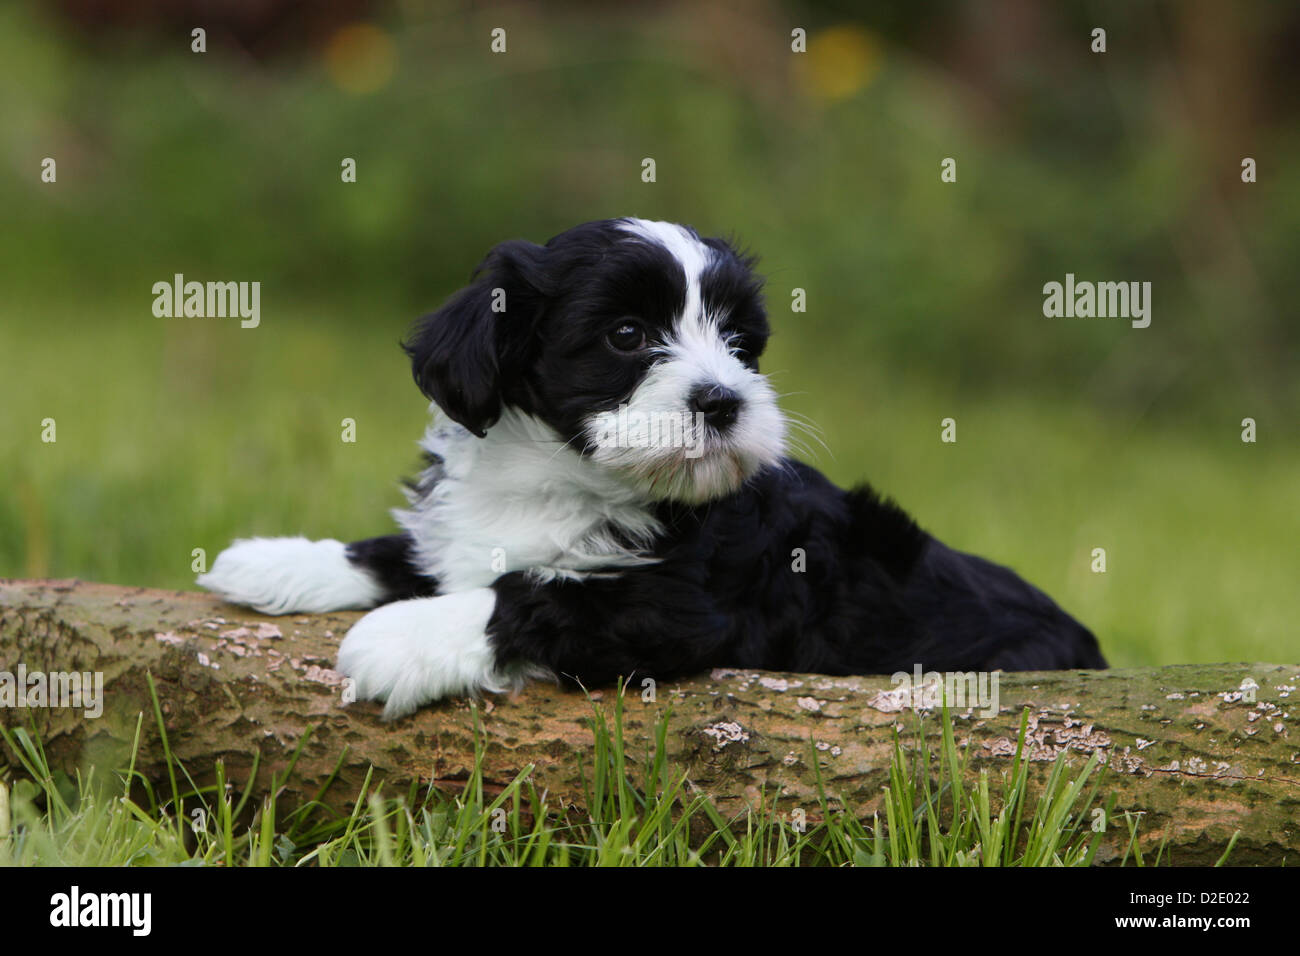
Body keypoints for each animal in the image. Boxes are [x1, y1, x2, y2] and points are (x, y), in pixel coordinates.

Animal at [197, 217, 1102, 717]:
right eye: (627, 334)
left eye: (739, 343)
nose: (724, 400)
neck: (561, 476)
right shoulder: (461, 525)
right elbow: (412, 550)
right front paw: (283, 560)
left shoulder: (685, 607)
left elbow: (537, 593)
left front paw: (403, 639)